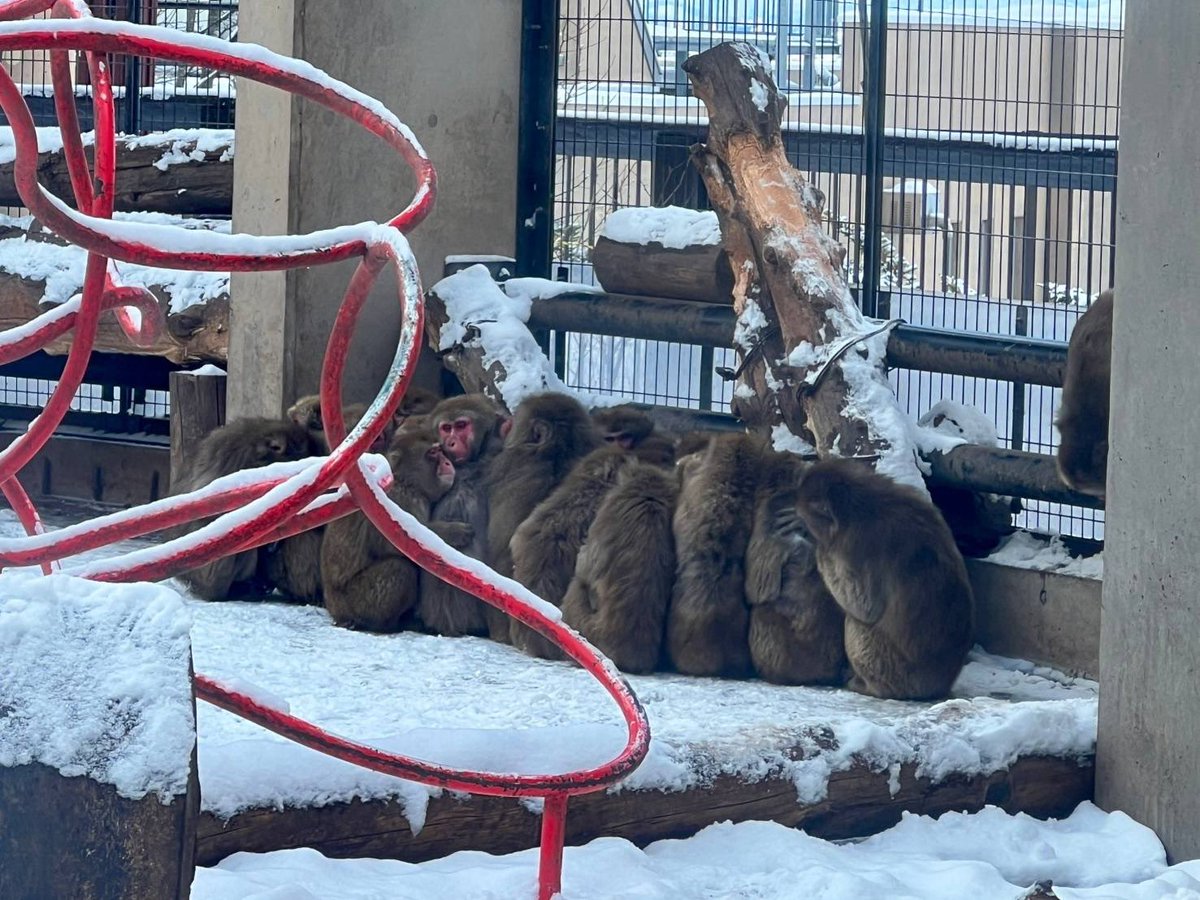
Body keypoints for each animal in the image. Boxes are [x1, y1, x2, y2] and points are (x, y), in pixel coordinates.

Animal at [324, 429, 472, 633]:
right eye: (433, 453)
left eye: (441, 451)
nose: (447, 462)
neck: (407, 481)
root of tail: (334, 609)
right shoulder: (401, 498)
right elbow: (398, 544)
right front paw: (453, 532)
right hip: (357, 601)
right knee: (400, 568)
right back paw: (380, 624)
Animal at [787, 460, 974, 700]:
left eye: (804, 518)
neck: (864, 504)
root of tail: (938, 686)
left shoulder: (858, 545)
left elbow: (864, 607)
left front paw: (821, 553)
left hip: (894, 670)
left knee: (857, 623)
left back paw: (868, 686)